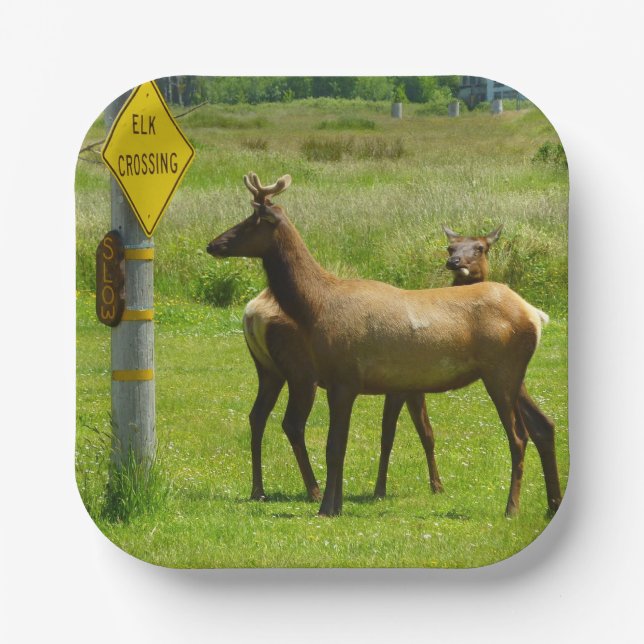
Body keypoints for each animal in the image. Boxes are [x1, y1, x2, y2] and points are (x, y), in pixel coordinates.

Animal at [207, 173, 562, 518]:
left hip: (500, 371)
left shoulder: (345, 378)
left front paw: (327, 508)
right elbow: (345, 445)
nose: (213, 244)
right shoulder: (349, 382)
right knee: (544, 425)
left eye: (251, 221)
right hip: (513, 374)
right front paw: (337, 504)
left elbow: (335, 447)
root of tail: (535, 315)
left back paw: (512, 508)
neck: (316, 308)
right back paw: (552, 503)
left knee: (519, 436)